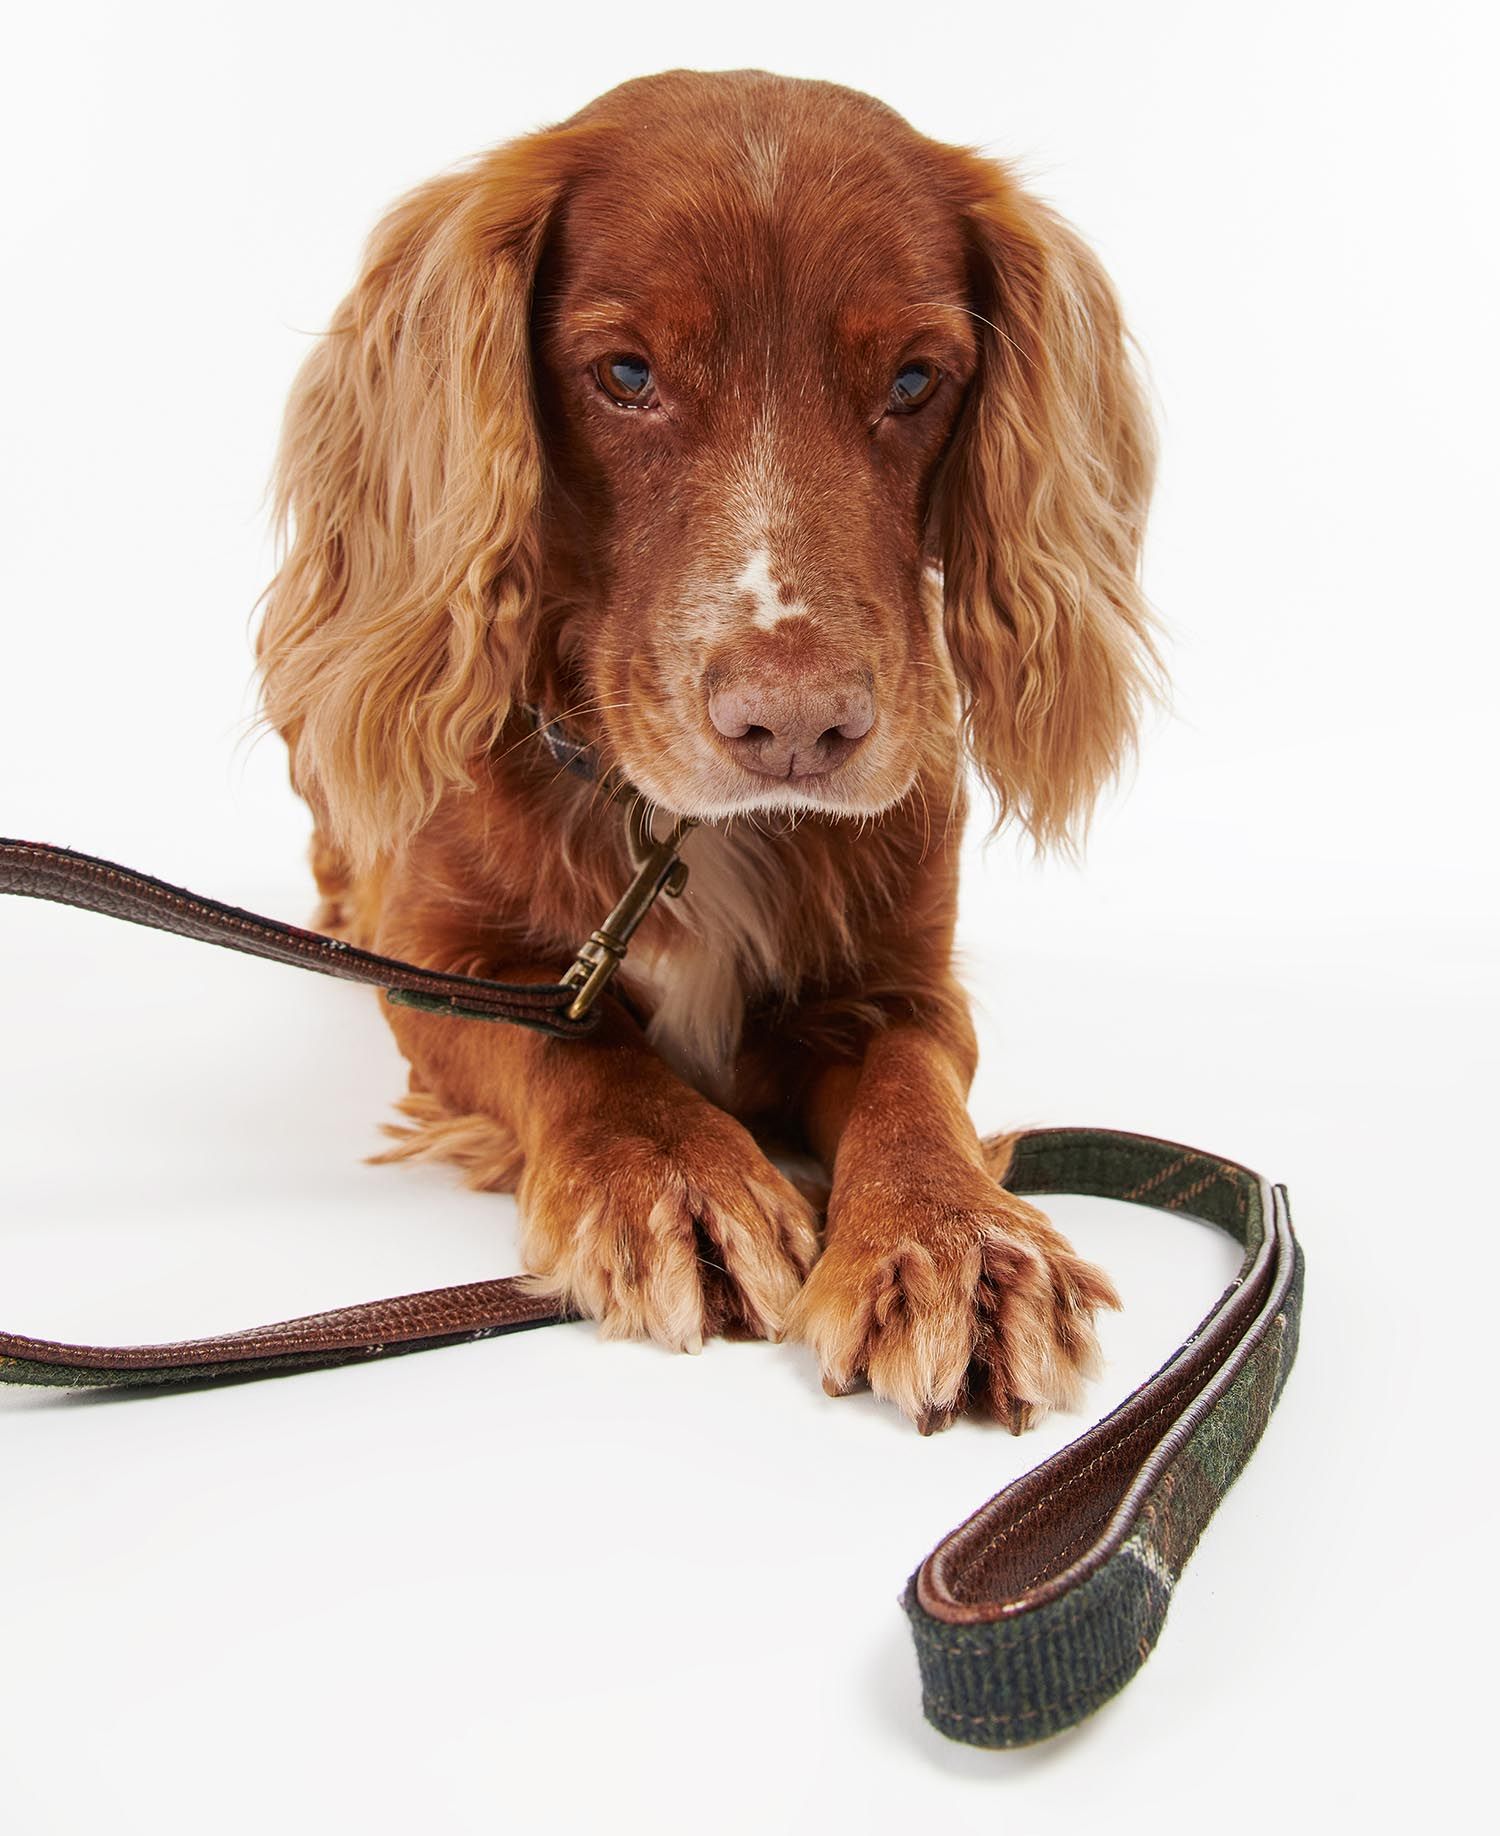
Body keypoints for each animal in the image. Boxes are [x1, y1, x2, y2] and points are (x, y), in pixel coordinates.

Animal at [255, 67, 1160, 1432]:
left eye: (915, 380)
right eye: (624, 372)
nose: (796, 726)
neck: (683, 833)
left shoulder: (903, 982)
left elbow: (914, 1082)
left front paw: (956, 1240)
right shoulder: (436, 965)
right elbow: (571, 1041)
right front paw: (670, 1175)